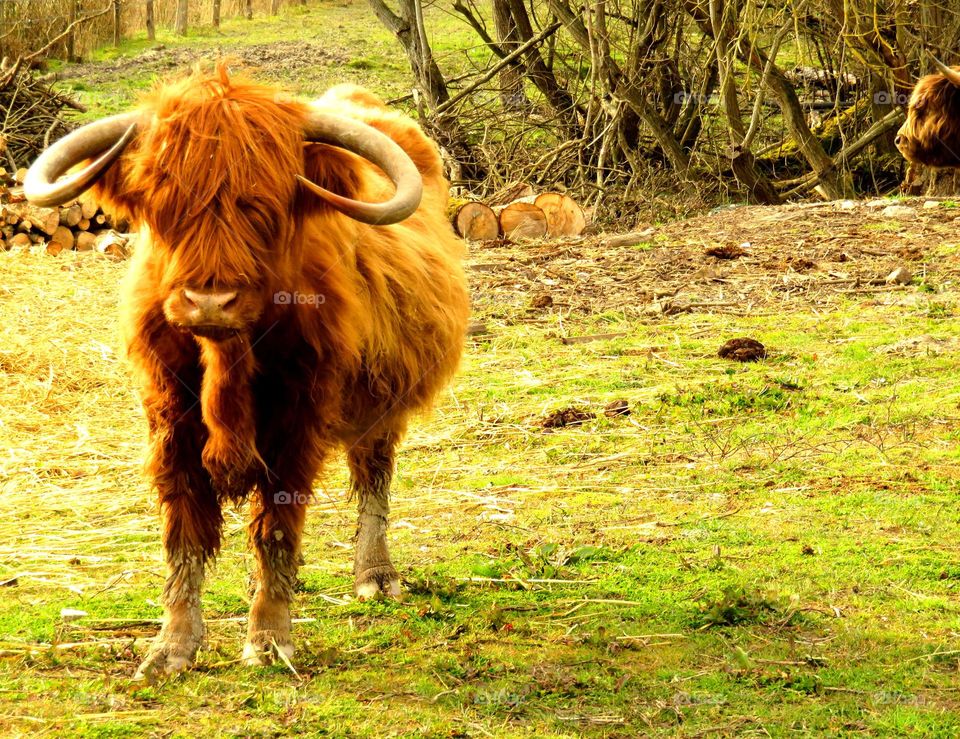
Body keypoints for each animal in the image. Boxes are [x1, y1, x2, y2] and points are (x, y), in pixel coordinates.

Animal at [24, 65, 470, 679]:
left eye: (262, 205)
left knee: (373, 476)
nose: (209, 302)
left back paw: (375, 576)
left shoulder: (299, 421)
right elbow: (183, 531)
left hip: (382, 402)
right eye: (162, 199)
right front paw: (170, 648)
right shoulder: (169, 421)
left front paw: (268, 639)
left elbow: (275, 528)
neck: (226, 364)